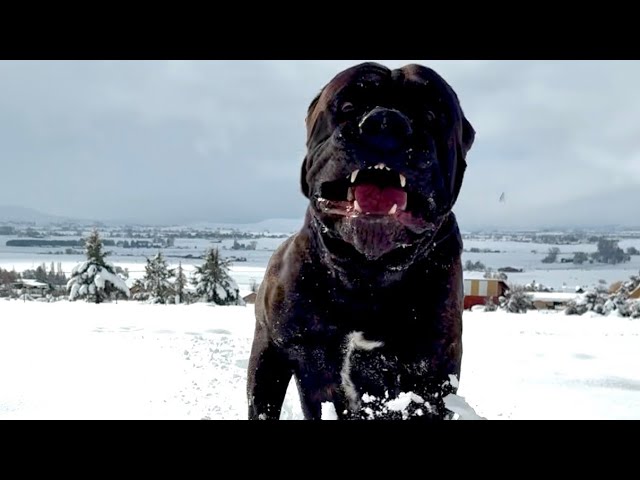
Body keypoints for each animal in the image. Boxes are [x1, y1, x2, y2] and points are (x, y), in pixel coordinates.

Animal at [248, 62, 472, 418]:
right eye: (348, 106)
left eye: (431, 114)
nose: (386, 123)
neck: (365, 276)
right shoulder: (270, 351)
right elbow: (263, 405)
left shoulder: (431, 381)